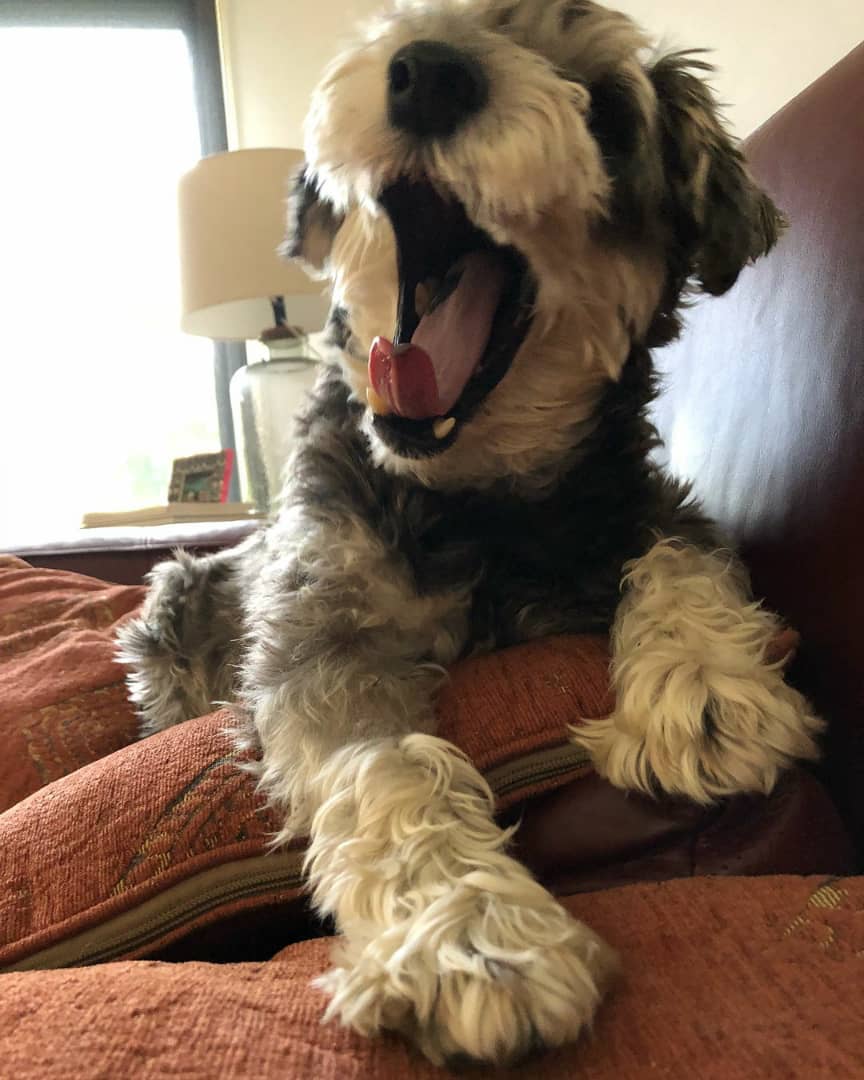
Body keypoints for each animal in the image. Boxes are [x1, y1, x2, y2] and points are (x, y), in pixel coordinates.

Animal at [118, 0, 823, 1066]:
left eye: (606, 107)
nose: (428, 73)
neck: (471, 500)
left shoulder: (653, 508)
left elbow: (681, 556)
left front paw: (705, 693)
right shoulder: (321, 639)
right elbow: (386, 764)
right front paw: (471, 938)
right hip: (172, 607)